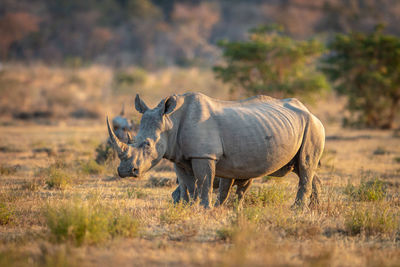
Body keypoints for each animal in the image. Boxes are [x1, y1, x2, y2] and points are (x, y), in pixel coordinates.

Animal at [106, 92, 324, 209]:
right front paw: (190, 207)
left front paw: (204, 208)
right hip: (299, 126)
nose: (125, 172)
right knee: (304, 168)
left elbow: (204, 182)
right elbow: (188, 183)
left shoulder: (204, 155)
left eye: (148, 145)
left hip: (312, 126)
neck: (170, 120)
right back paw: (314, 208)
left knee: (305, 165)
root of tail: (310, 111)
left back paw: (297, 209)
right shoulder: (178, 157)